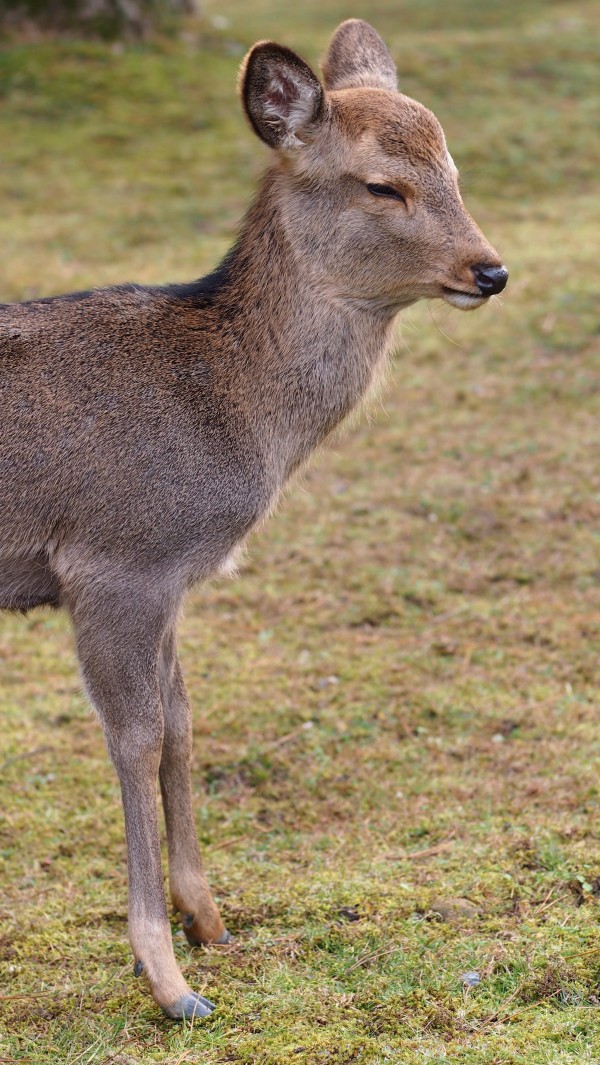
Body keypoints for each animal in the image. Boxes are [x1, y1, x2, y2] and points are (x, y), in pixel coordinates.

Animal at [0, 16, 507, 1013]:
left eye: (454, 169)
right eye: (381, 184)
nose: (490, 269)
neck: (234, 417)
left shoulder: (170, 576)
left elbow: (182, 723)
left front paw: (210, 920)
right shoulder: (115, 558)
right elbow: (135, 738)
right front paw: (166, 978)